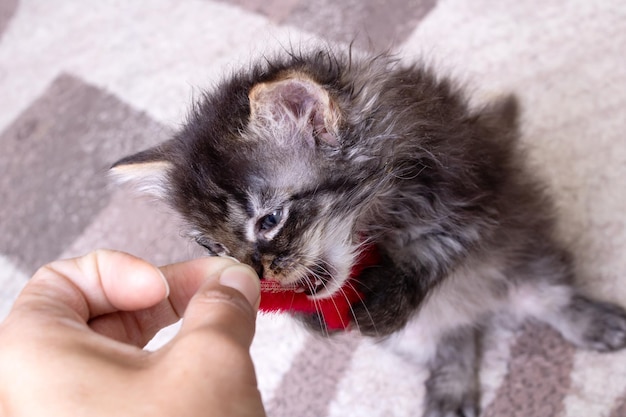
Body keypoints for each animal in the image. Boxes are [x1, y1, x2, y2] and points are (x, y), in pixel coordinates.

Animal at [112, 48, 624, 416]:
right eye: (214, 246)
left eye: (269, 221)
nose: (255, 274)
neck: (373, 218)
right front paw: (311, 318)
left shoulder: (473, 201)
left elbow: (435, 250)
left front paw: (393, 292)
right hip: (418, 336)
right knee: (453, 333)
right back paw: (452, 383)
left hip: (528, 257)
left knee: (548, 297)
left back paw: (593, 321)